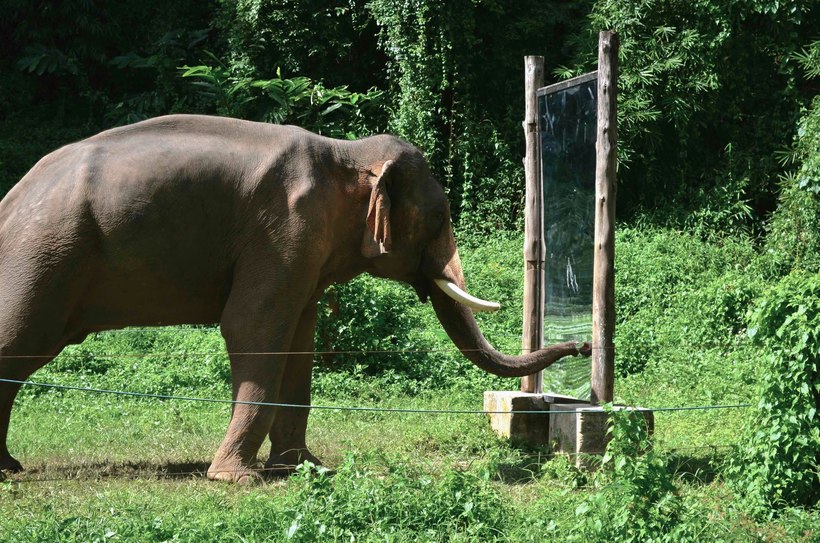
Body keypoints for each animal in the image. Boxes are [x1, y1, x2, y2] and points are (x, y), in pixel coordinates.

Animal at [0, 116, 588, 484]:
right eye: (439, 218)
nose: (583, 346)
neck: (344, 151)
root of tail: (14, 194)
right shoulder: (283, 230)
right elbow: (252, 328)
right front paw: (234, 479)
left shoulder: (304, 252)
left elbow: (299, 341)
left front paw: (305, 468)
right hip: (45, 255)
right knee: (19, 342)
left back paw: (8, 466)